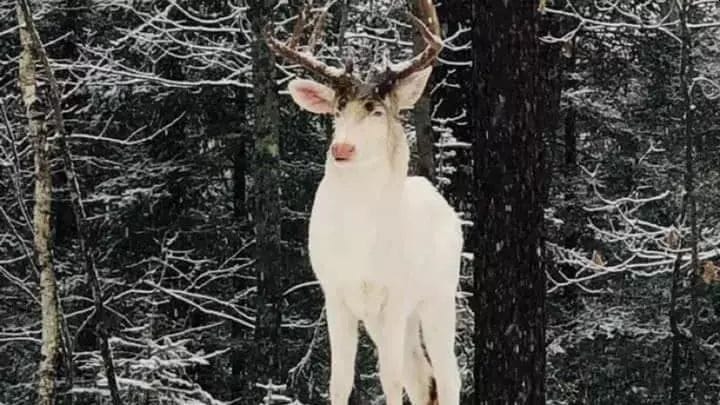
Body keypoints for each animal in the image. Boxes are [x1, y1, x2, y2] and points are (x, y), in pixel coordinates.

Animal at [265, 1, 462, 404]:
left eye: (377, 110)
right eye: (337, 109)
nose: (342, 148)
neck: (360, 246)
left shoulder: (396, 293)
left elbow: (390, 378)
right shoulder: (336, 292)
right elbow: (340, 380)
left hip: (439, 294)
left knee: (447, 376)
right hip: (392, 315)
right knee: (423, 378)